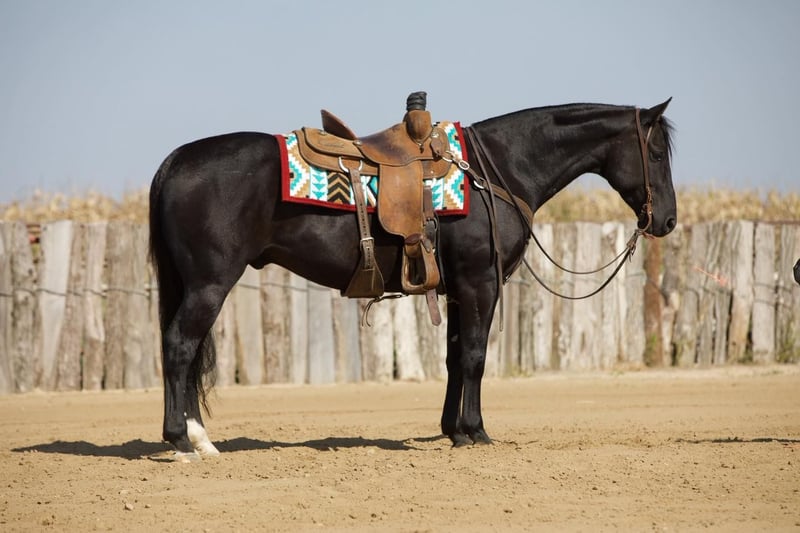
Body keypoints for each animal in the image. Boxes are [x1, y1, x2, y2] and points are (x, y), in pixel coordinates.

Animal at [149, 98, 676, 459]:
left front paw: (454, 430)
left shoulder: (458, 290)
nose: (667, 221)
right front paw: (477, 430)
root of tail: (175, 160)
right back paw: (182, 440)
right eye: (655, 153)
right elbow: (476, 357)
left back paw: (198, 438)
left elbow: (454, 358)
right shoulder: (480, 284)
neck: (499, 170)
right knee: (179, 347)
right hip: (209, 284)